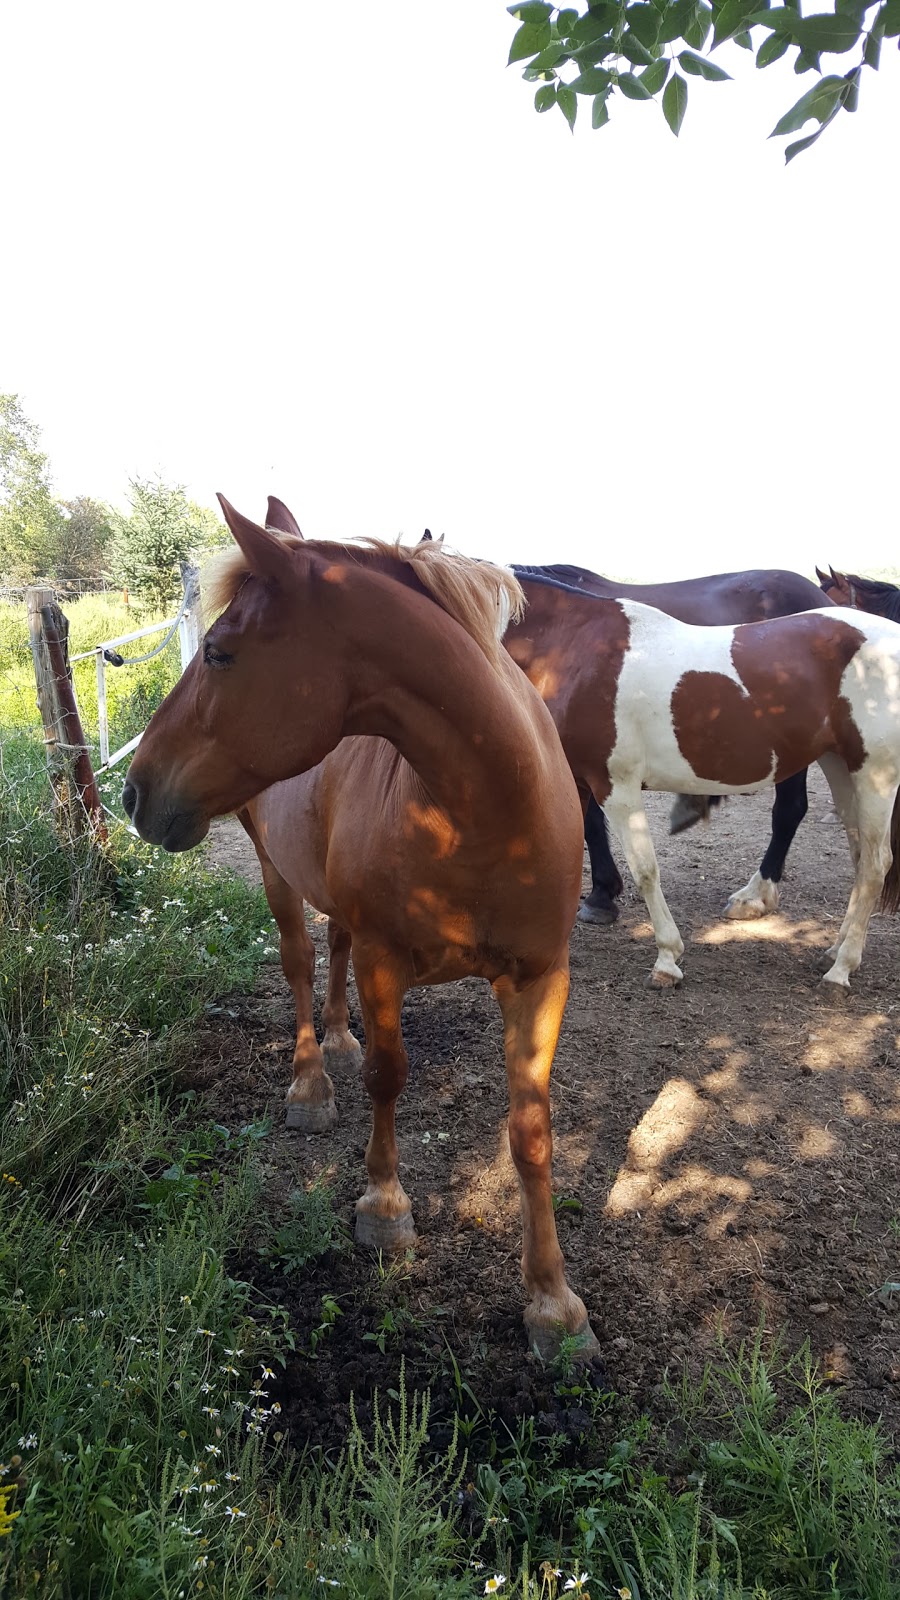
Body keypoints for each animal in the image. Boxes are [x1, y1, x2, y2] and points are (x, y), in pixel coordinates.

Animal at [122, 499, 592, 1363]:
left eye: (219, 651)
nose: (136, 792)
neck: (485, 812)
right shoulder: (385, 961)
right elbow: (387, 1076)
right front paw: (384, 1208)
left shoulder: (542, 978)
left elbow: (532, 1129)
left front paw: (553, 1302)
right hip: (276, 873)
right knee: (301, 960)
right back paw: (312, 1079)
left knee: (330, 952)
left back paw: (336, 1041)